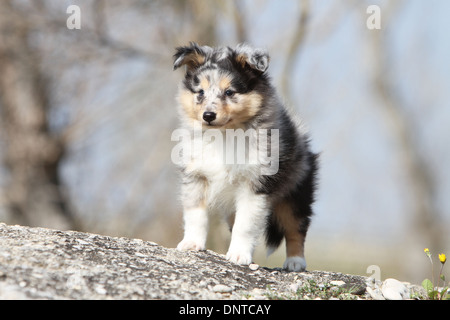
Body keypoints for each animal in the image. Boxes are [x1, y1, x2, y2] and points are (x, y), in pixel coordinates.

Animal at [171, 42, 316, 272]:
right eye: (200, 92)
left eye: (229, 92)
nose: (208, 116)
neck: (225, 134)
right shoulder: (195, 176)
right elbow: (196, 214)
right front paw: (192, 243)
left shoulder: (255, 185)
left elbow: (245, 225)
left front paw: (239, 256)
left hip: (297, 192)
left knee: (296, 228)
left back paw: (295, 262)